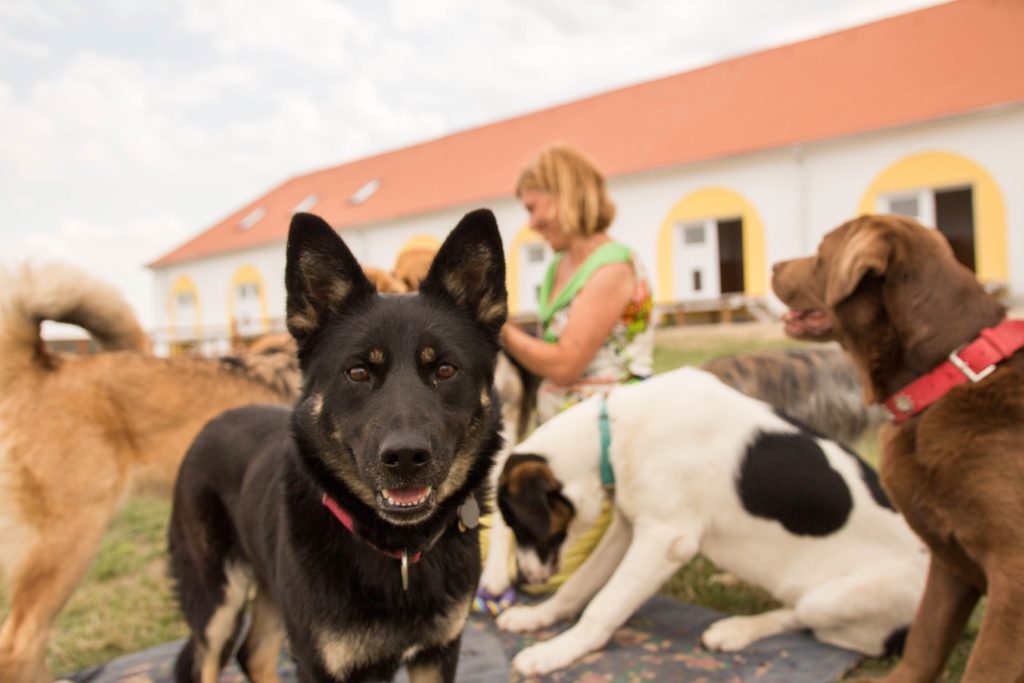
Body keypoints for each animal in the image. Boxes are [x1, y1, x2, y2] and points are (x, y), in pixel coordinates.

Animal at [495, 366, 929, 675]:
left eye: (519, 524)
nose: (520, 581)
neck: (613, 433)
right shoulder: (629, 526)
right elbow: (580, 585)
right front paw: (539, 617)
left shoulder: (666, 540)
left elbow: (603, 605)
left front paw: (558, 650)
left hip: (837, 596)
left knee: (812, 621)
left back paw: (735, 630)